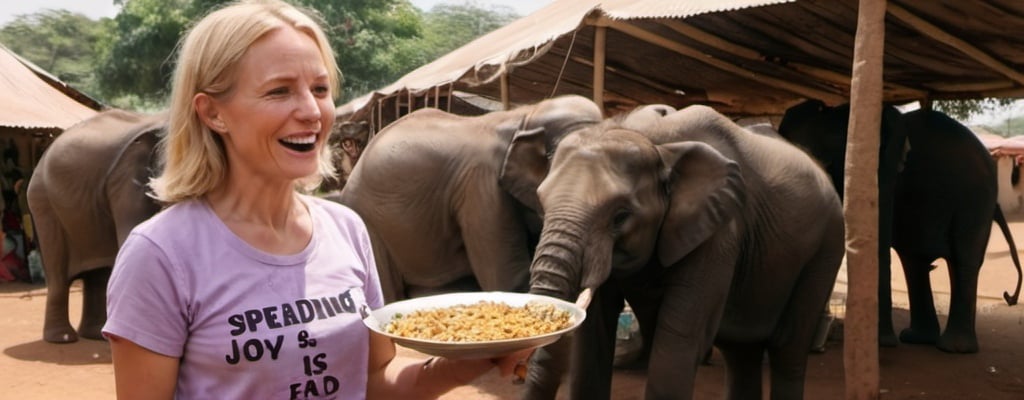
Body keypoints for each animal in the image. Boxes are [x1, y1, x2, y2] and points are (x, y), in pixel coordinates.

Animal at [27, 107, 165, 343]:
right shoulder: (125, 184)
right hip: (42, 201)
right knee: (58, 272)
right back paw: (63, 338)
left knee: (98, 274)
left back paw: (96, 335)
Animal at [503, 104, 847, 398]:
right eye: (541, 204)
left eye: (621, 216)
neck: (654, 142)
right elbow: (593, 338)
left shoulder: (721, 232)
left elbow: (679, 341)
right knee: (741, 352)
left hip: (827, 246)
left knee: (787, 347)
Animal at [778, 101, 1019, 353]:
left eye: (830, 165)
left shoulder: (884, 167)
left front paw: (880, 342)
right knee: (915, 261)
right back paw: (919, 339)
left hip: (975, 201)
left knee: (963, 260)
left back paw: (954, 348)